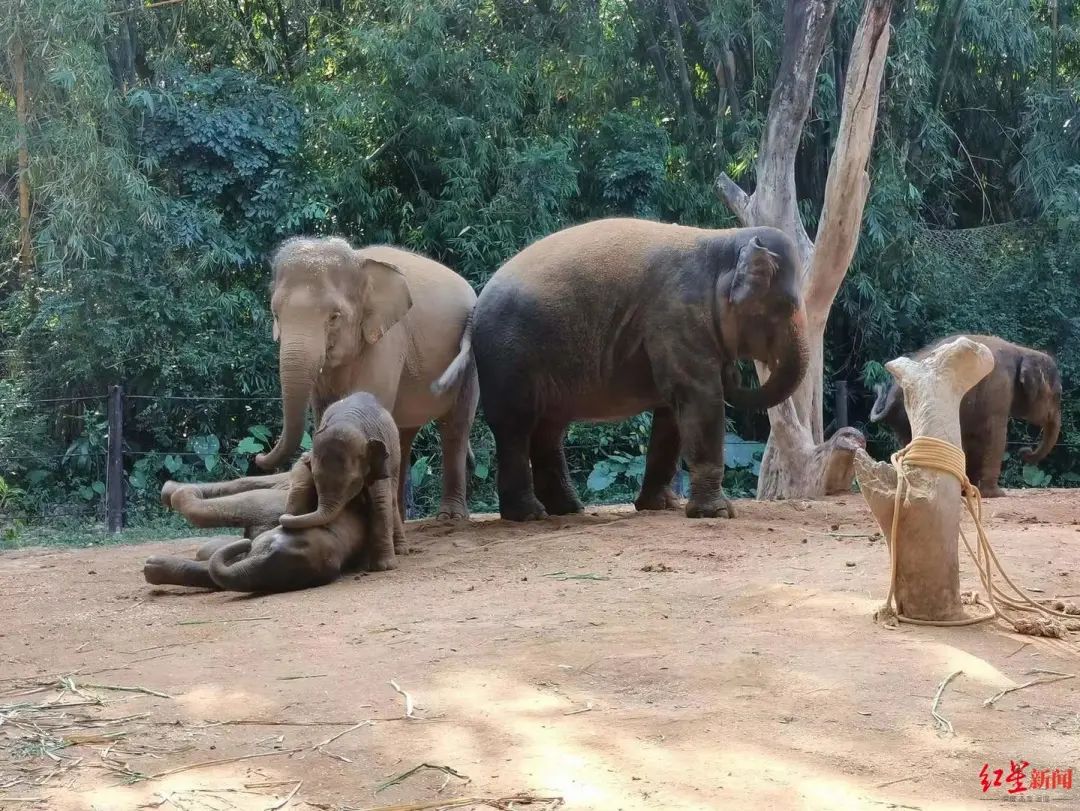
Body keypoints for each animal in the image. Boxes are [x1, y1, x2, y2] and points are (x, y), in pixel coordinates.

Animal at [253, 236, 478, 521]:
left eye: (334, 316)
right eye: (275, 314)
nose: (258, 456)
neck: (359, 261)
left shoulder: (386, 340)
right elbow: (324, 409)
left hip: (471, 363)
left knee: (455, 427)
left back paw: (450, 517)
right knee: (404, 435)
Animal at [471, 217, 810, 522]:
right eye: (785, 306)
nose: (733, 371)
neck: (724, 240)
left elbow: (671, 416)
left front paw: (660, 506)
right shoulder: (677, 318)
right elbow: (701, 400)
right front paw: (717, 513)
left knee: (549, 429)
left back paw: (567, 509)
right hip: (507, 357)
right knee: (516, 426)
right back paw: (529, 515)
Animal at [869, 334, 1062, 498]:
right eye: (1058, 395)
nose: (1024, 451)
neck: (1023, 350)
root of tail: (891, 395)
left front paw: (971, 491)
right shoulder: (999, 388)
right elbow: (996, 435)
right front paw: (995, 494)